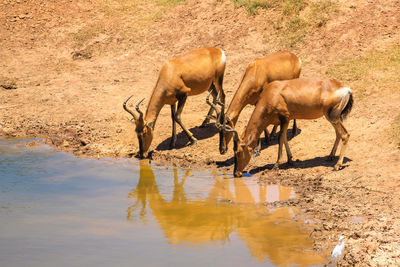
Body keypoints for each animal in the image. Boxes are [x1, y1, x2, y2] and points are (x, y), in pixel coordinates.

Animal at [225, 77, 354, 178]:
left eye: (238, 152)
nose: (236, 173)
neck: (273, 92)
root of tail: (346, 89)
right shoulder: (286, 120)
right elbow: (285, 138)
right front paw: (290, 159)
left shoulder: (285, 118)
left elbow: (280, 138)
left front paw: (276, 165)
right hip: (332, 118)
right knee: (338, 133)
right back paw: (331, 157)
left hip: (332, 117)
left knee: (345, 134)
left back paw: (337, 165)